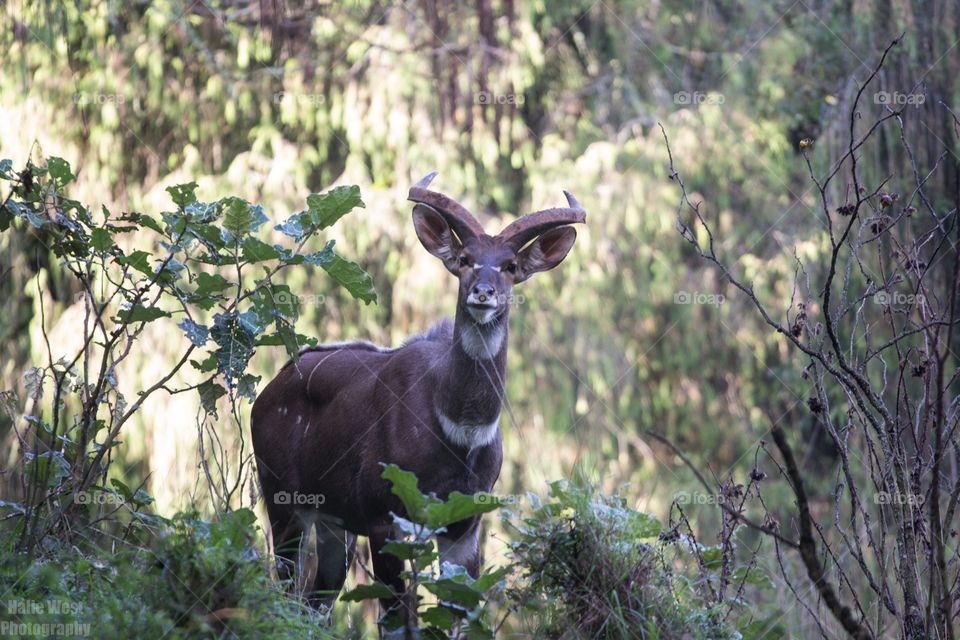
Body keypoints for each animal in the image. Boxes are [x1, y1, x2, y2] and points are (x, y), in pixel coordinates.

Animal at [250, 172, 585, 635]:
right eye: (464, 259)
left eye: (511, 267)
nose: (483, 293)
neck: (458, 431)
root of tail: (268, 390)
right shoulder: (385, 519)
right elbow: (395, 622)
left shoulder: (463, 527)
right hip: (283, 501)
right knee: (284, 592)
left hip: (335, 524)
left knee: (314, 602)